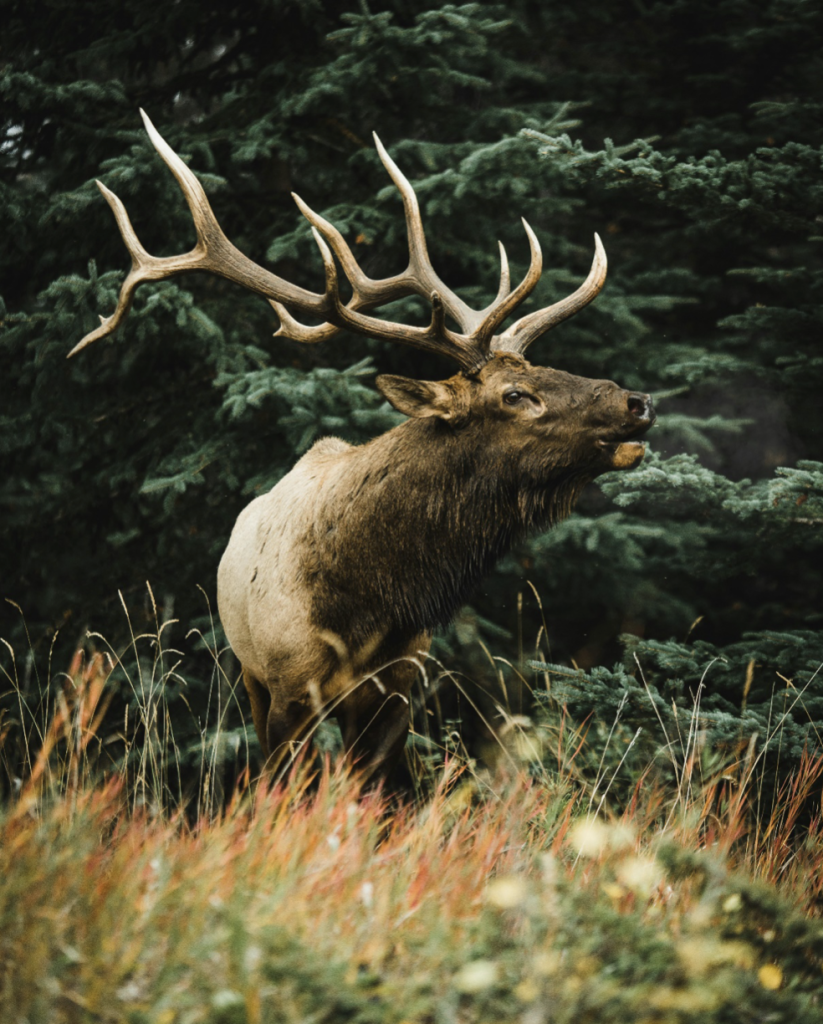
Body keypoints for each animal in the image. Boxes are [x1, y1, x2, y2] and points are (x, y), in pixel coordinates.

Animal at [70, 111, 655, 783]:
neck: (367, 604)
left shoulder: (399, 686)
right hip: (247, 671)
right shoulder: (287, 684)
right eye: (514, 394)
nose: (637, 402)